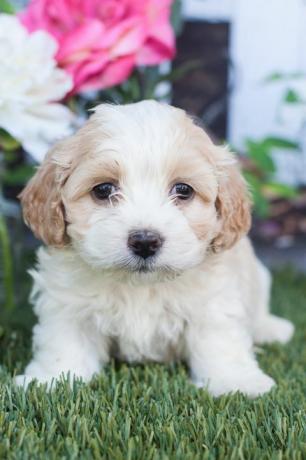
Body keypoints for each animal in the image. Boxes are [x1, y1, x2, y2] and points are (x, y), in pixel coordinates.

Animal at [17, 102, 294, 398]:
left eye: (183, 190)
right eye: (103, 190)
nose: (145, 241)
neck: (141, 286)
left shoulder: (214, 302)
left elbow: (219, 341)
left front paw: (236, 382)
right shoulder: (68, 302)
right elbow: (65, 342)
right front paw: (50, 379)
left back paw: (273, 328)